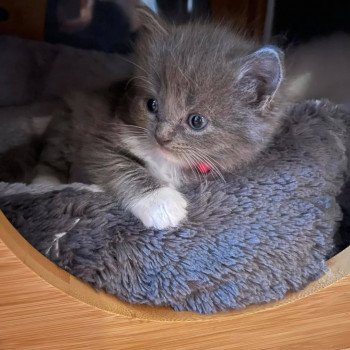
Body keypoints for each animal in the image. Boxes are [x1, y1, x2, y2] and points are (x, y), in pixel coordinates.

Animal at [32, 6, 286, 230]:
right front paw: (160, 201)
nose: (160, 136)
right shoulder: (100, 136)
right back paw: (43, 185)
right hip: (68, 120)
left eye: (196, 121)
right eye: (151, 104)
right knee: (51, 158)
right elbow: (120, 164)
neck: (166, 160)